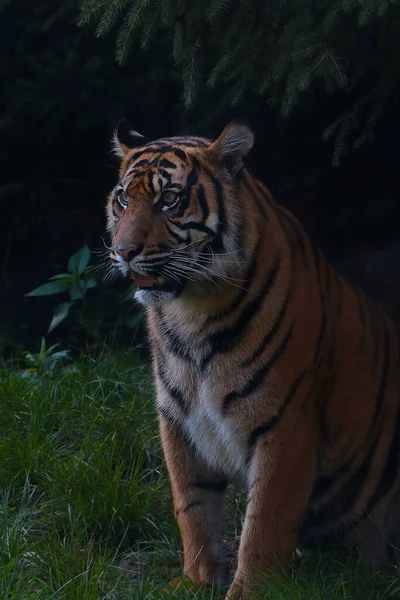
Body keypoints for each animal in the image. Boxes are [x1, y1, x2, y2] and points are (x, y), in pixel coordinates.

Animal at [106, 118, 400, 600]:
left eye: (169, 200)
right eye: (123, 200)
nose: (124, 251)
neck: (190, 313)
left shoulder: (285, 421)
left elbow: (265, 521)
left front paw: (251, 590)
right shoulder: (178, 418)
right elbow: (192, 507)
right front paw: (195, 580)